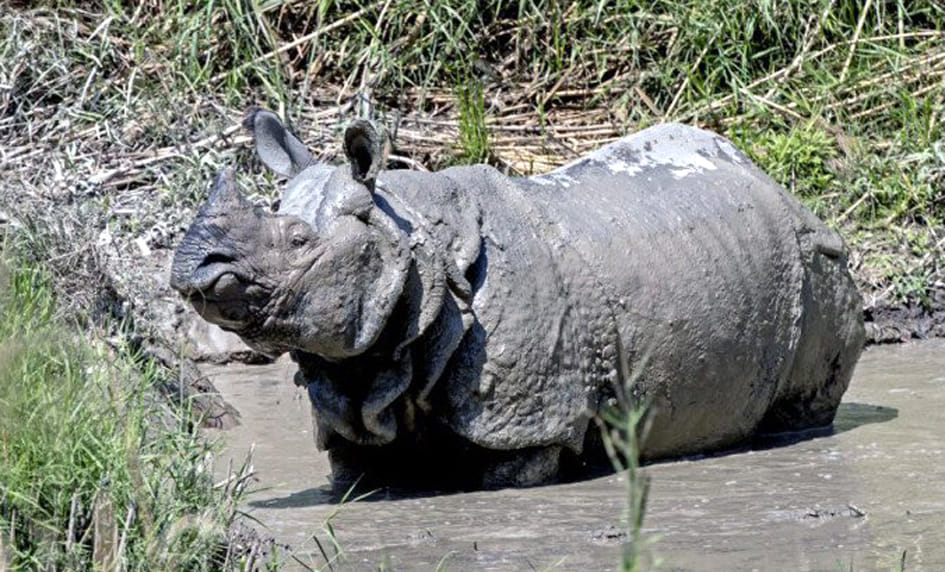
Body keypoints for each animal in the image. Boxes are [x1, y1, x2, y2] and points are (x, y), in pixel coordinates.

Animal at [170, 108, 865, 490]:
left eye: (297, 240)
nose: (192, 270)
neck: (411, 243)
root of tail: (779, 188)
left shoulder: (532, 422)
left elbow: (511, 470)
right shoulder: (353, 385)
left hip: (817, 267)